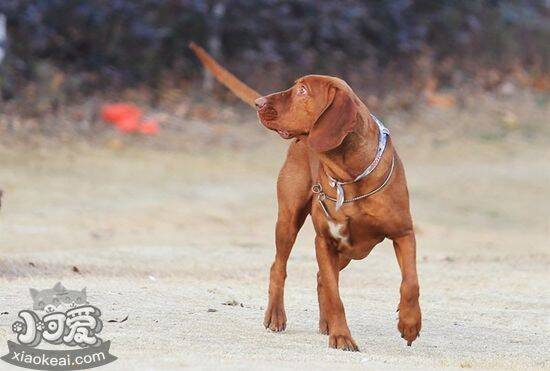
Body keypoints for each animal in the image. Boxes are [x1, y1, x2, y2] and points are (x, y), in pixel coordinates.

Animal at [190, 42, 422, 352]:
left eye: (302, 91)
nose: (259, 102)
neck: (350, 175)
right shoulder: (325, 242)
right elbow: (336, 295)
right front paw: (342, 336)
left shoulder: (403, 233)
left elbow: (410, 282)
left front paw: (410, 323)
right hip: (290, 220)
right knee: (279, 267)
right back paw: (277, 315)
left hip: (347, 252)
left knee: (321, 278)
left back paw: (326, 322)